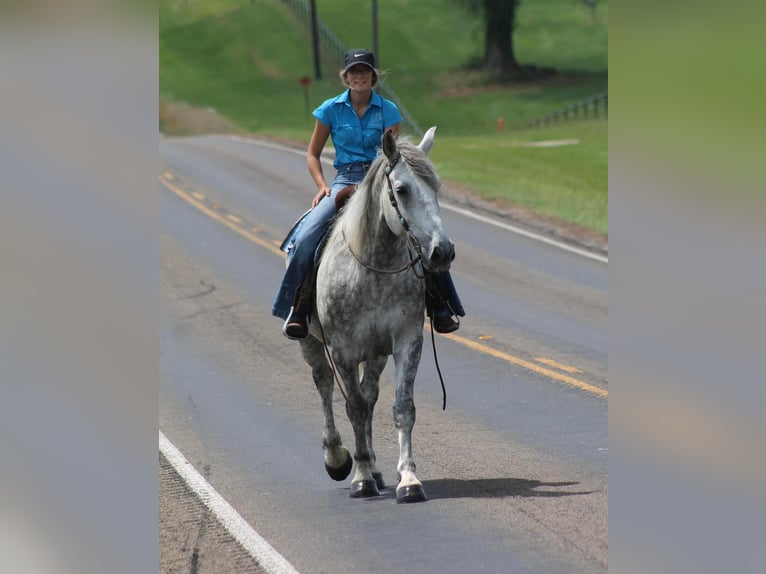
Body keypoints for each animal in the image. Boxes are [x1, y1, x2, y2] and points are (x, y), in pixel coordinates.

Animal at [298, 127, 456, 504]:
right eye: (402, 189)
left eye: (436, 187)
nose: (442, 251)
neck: (373, 266)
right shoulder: (342, 349)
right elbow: (352, 408)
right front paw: (359, 478)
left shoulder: (406, 342)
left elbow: (401, 408)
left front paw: (408, 479)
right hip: (311, 343)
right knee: (325, 386)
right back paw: (339, 457)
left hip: (376, 354)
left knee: (369, 397)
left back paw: (374, 466)